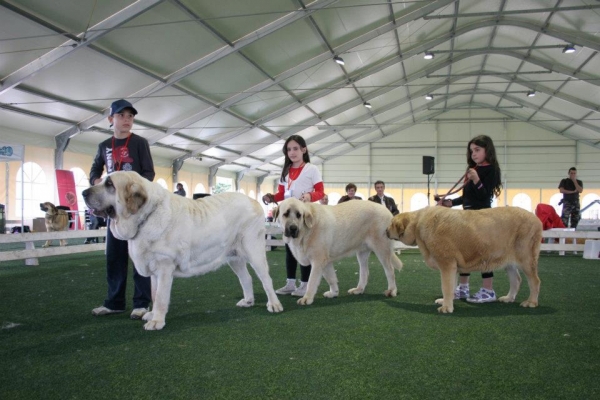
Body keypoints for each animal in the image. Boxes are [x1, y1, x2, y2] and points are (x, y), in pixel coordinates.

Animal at [81, 170, 284, 330]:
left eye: (109, 184)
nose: (83, 192)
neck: (146, 216)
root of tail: (253, 201)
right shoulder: (154, 270)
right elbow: (154, 294)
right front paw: (152, 315)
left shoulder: (164, 266)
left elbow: (161, 297)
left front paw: (156, 321)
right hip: (234, 257)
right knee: (246, 278)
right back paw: (248, 301)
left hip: (254, 250)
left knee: (266, 280)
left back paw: (274, 304)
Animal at [276, 198, 404, 306]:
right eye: (285, 214)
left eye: (299, 215)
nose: (293, 228)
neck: (306, 231)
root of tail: (387, 210)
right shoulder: (325, 262)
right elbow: (331, 278)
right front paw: (334, 293)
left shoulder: (318, 261)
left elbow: (312, 281)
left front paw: (307, 298)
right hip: (362, 252)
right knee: (365, 272)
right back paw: (358, 289)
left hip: (382, 249)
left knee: (390, 271)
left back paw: (392, 291)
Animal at [386, 206, 540, 312]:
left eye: (392, 223)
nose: (385, 231)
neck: (418, 224)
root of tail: (536, 219)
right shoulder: (452, 267)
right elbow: (452, 286)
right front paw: (446, 301)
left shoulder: (447, 264)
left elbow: (446, 287)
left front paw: (446, 308)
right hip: (509, 262)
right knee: (516, 280)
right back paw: (508, 298)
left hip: (526, 259)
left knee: (535, 281)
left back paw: (531, 302)